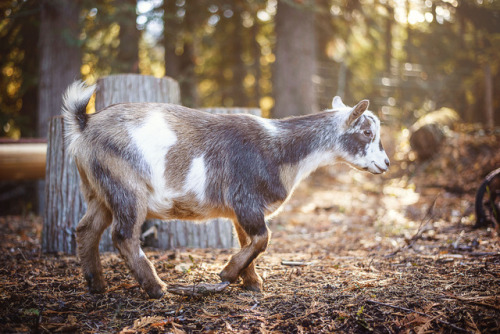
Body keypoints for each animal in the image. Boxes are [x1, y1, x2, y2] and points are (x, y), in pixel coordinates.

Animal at [62, 80, 390, 298]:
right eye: (367, 132)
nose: (386, 163)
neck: (281, 149)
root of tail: (84, 124)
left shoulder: (241, 210)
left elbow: (248, 241)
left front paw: (252, 283)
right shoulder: (247, 201)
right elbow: (263, 239)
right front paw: (228, 274)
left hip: (98, 190)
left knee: (86, 229)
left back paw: (97, 285)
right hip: (125, 187)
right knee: (123, 235)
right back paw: (156, 288)